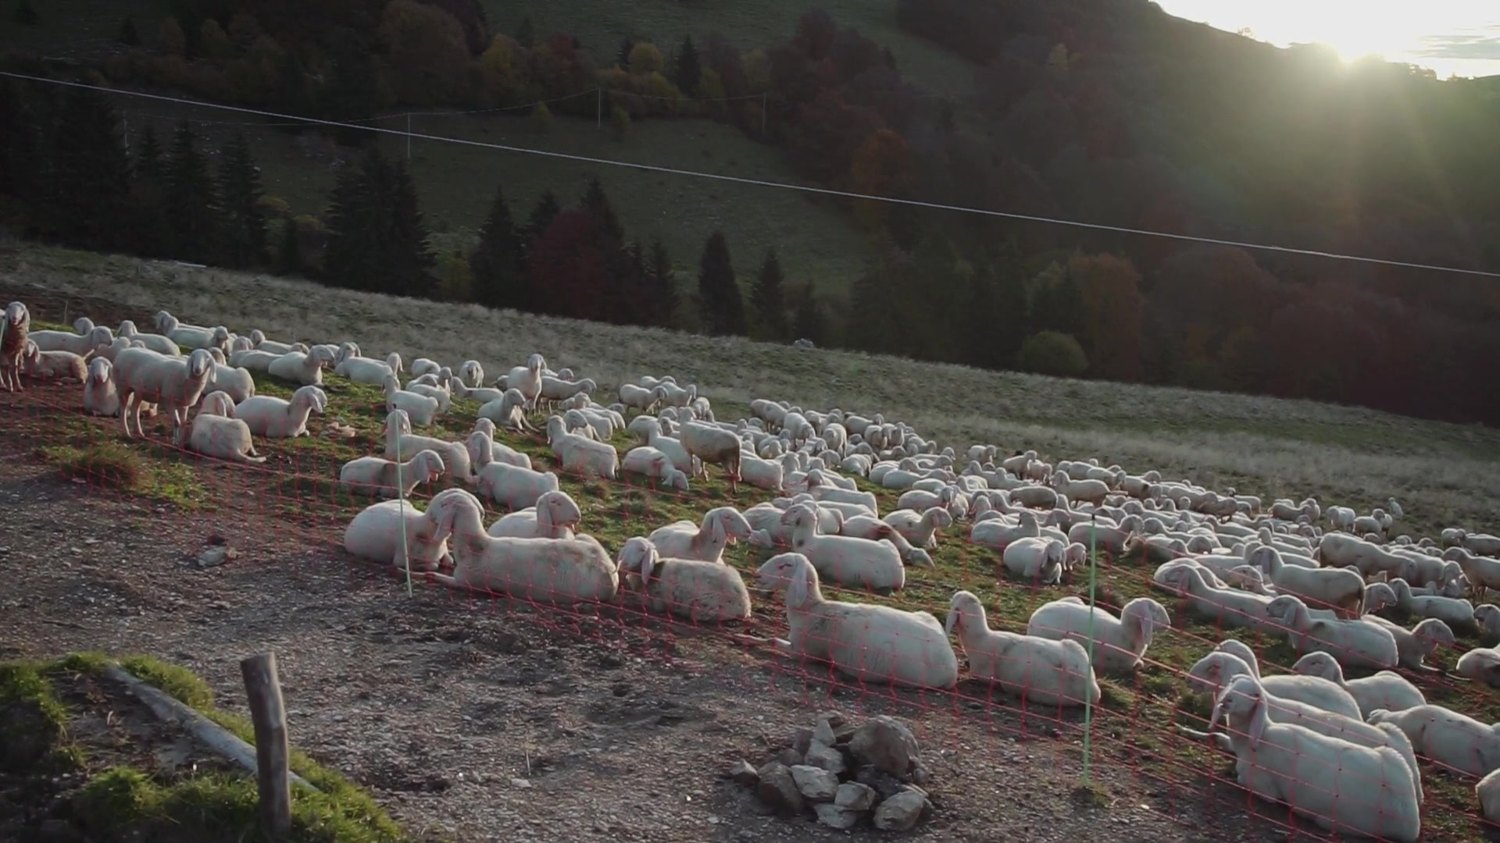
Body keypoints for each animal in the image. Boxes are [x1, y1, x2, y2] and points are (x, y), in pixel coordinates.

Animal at [424, 489, 618, 604]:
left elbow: (448, 580)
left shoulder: (467, 582)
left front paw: (431, 575)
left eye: (443, 504)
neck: (477, 547)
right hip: (586, 539)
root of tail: (609, 567)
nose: (431, 516)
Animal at [749, 552, 958, 690]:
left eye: (785, 565)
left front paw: (746, 639)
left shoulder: (804, 652)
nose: (757, 574)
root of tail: (950, 656)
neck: (812, 610)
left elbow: (771, 640)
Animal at [1206, 675, 1422, 842]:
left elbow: (1248, 783)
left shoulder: (1261, 785)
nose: (1227, 700)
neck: (1259, 736)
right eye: (1232, 682)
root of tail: (1411, 817)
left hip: (1340, 820)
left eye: (1254, 694)